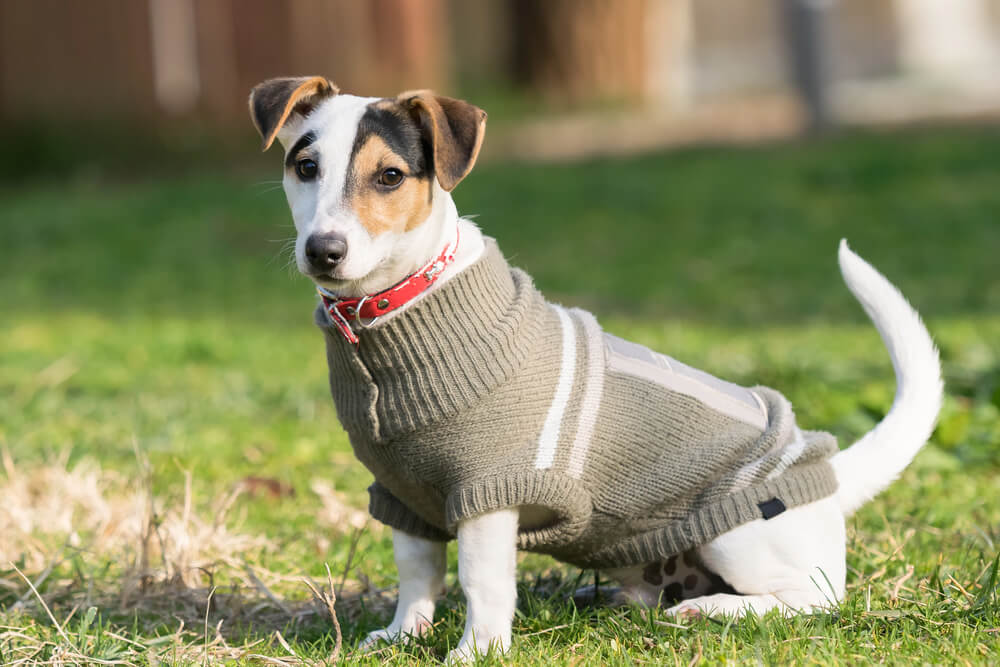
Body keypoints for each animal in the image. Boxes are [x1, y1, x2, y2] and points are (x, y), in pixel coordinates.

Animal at [248, 77, 944, 664]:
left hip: (739, 533)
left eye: (389, 176)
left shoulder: (488, 492)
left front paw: (476, 651)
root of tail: (832, 476)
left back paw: (713, 609)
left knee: (811, 600)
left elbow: (480, 581)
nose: (324, 251)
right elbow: (418, 571)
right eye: (306, 168)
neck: (393, 313)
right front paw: (401, 635)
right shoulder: (402, 493)